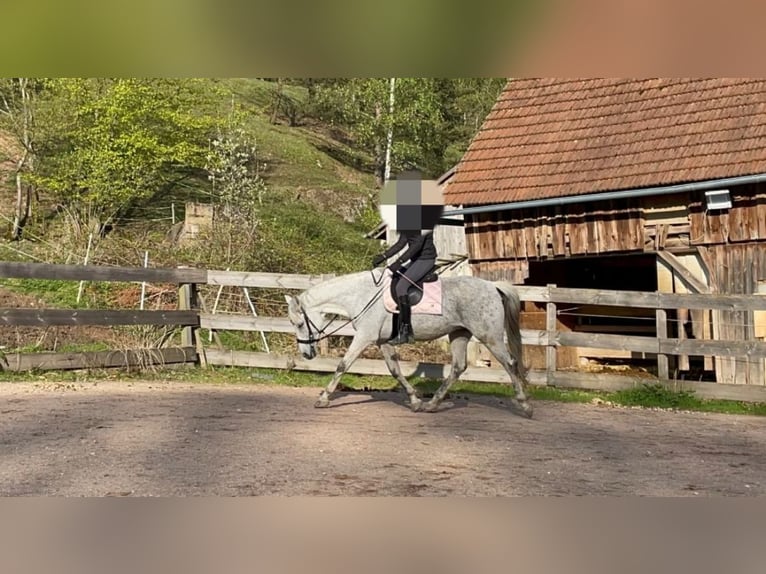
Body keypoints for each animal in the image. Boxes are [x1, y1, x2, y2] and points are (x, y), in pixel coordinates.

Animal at [284, 270, 536, 418]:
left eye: (299, 323)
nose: (306, 354)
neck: (360, 296)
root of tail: (492, 286)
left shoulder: (364, 337)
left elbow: (342, 365)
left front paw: (323, 398)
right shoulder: (382, 341)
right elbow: (395, 370)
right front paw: (414, 401)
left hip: (489, 335)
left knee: (510, 363)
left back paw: (525, 406)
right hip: (459, 334)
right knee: (457, 367)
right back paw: (431, 404)